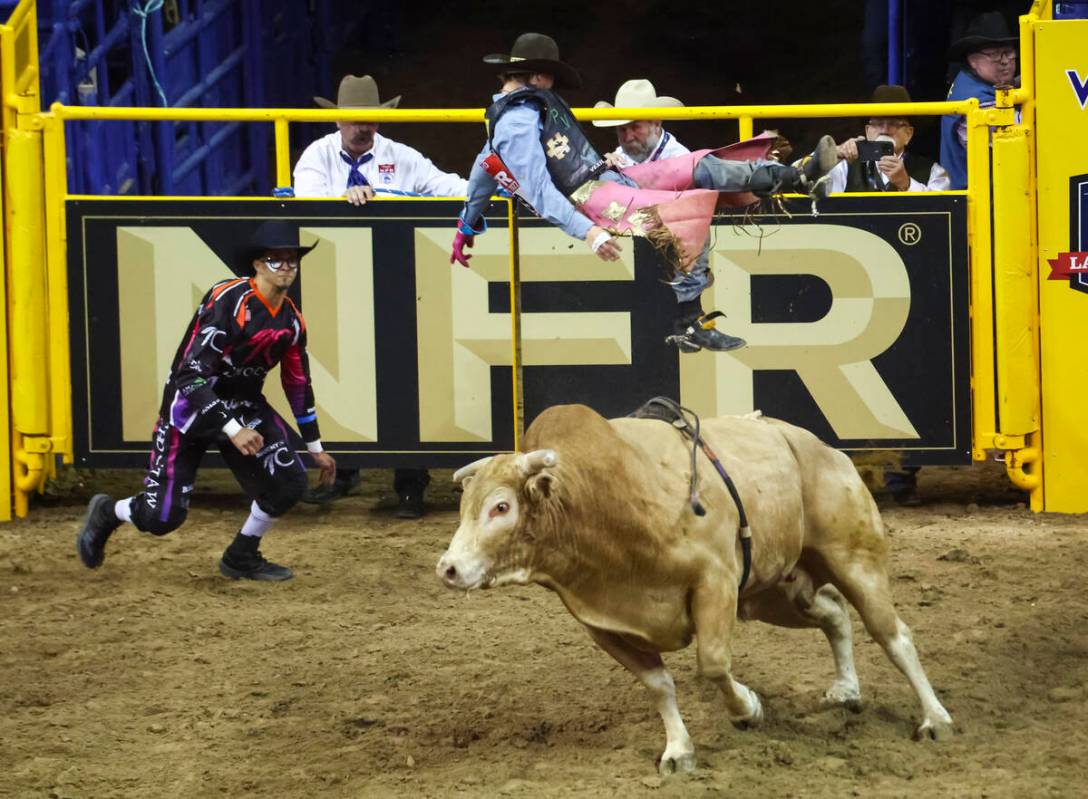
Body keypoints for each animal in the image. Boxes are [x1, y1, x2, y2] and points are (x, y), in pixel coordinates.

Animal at [433, 402, 953, 775]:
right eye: (464, 506)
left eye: (501, 507)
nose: (449, 568)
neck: (601, 500)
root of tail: (825, 450)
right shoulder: (604, 624)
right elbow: (659, 684)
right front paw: (679, 750)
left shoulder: (715, 583)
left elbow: (714, 664)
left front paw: (748, 710)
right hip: (777, 590)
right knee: (832, 611)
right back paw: (846, 689)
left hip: (854, 557)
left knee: (892, 635)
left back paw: (935, 719)